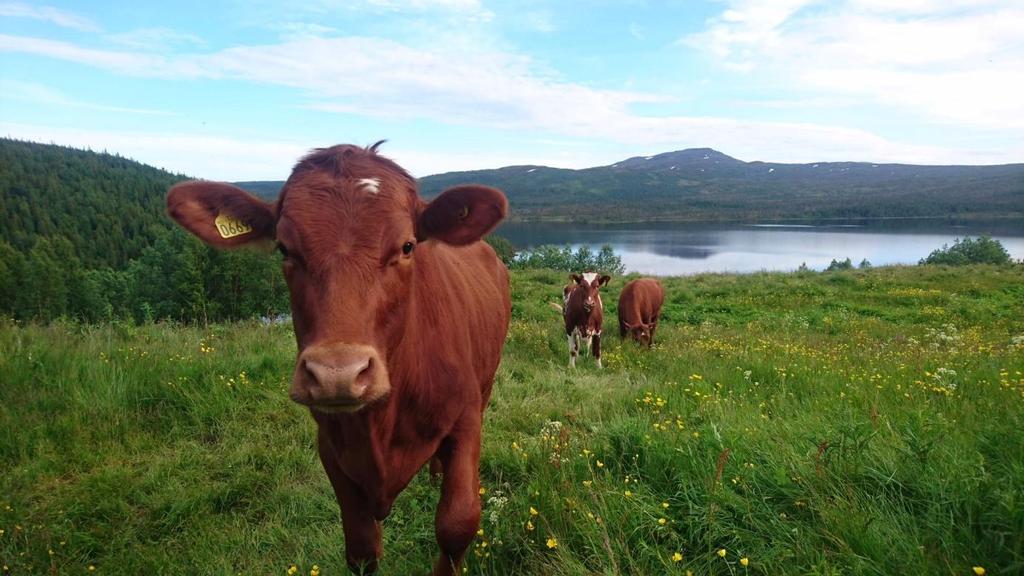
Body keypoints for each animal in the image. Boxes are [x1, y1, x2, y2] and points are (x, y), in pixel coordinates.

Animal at [166, 142, 512, 573]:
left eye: (407, 246)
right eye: (284, 248)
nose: (337, 374)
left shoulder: (465, 419)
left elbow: (456, 524)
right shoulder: (330, 445)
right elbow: (361, 548)